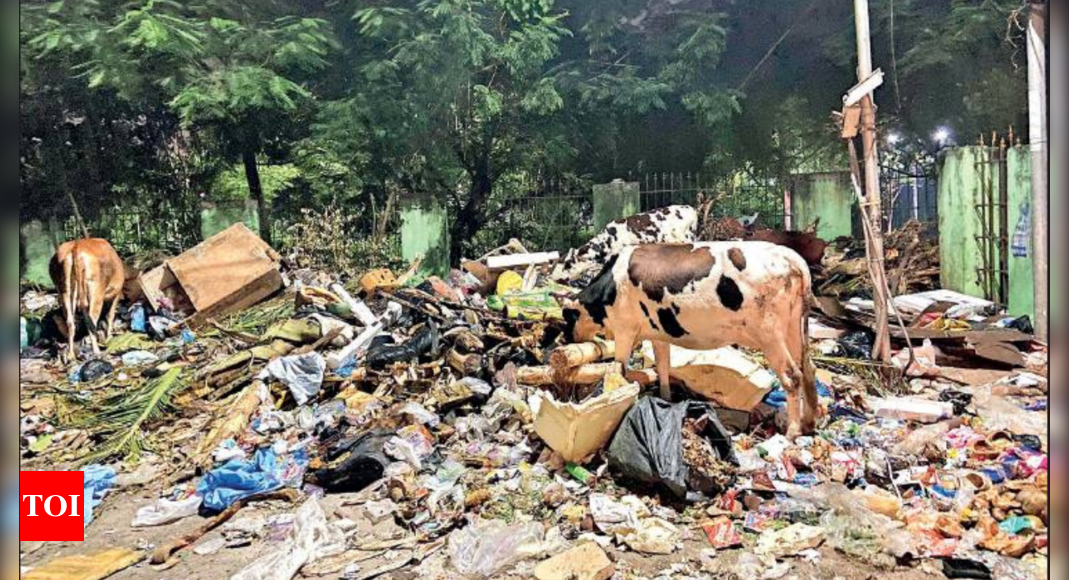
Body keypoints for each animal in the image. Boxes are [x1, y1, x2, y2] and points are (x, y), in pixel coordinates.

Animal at [560, 241, 816, 440]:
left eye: (568, 319)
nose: (568, 339)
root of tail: (790, 257)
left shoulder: (624, 330)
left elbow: (620, 370)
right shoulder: (658, 335)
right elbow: (663, 367)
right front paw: (665, 399)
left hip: (769, 334)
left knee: (793, 376)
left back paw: (793, 431)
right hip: (794, 328)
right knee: (808, 369)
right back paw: (809, 422)